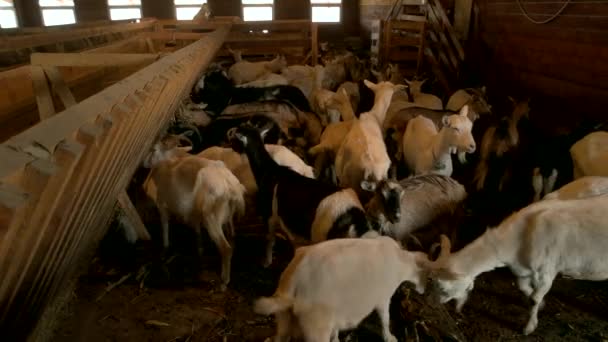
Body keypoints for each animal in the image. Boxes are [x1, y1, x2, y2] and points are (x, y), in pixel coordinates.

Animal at [142, 136, 245, 288]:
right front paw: (200, 252)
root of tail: (230, 185)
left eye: (154, 149)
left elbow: (165, 229)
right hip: (227, 216)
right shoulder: (194, 214)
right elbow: (197, 233)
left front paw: (164, 251)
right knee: (231, 239)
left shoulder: (162, 206)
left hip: (211, 218)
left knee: (226, 249)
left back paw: (223, 282)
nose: (144, 162)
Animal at [230, 124, 376, 266]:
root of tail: (354, 215)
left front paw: (266, 262)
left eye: (237, 135)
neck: (270, 171)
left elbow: (269, 239)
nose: (229, 135)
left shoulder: (269, 214)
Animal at [254, 235, 430, 342]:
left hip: (284, 318)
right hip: (316, 327)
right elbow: (385, 318)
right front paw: (389, 337)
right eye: (428, 276)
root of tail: (297, 276)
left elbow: (336, 329)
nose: (424, 292)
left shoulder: (339, 311)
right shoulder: (383, 297)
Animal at [430, 192, 608, 334]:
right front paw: (542, 305)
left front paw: (529, 327)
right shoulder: (524, 270)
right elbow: (523, 288)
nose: (437, 305)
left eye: (443, 288)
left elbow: (534, 299)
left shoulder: (546, 272)